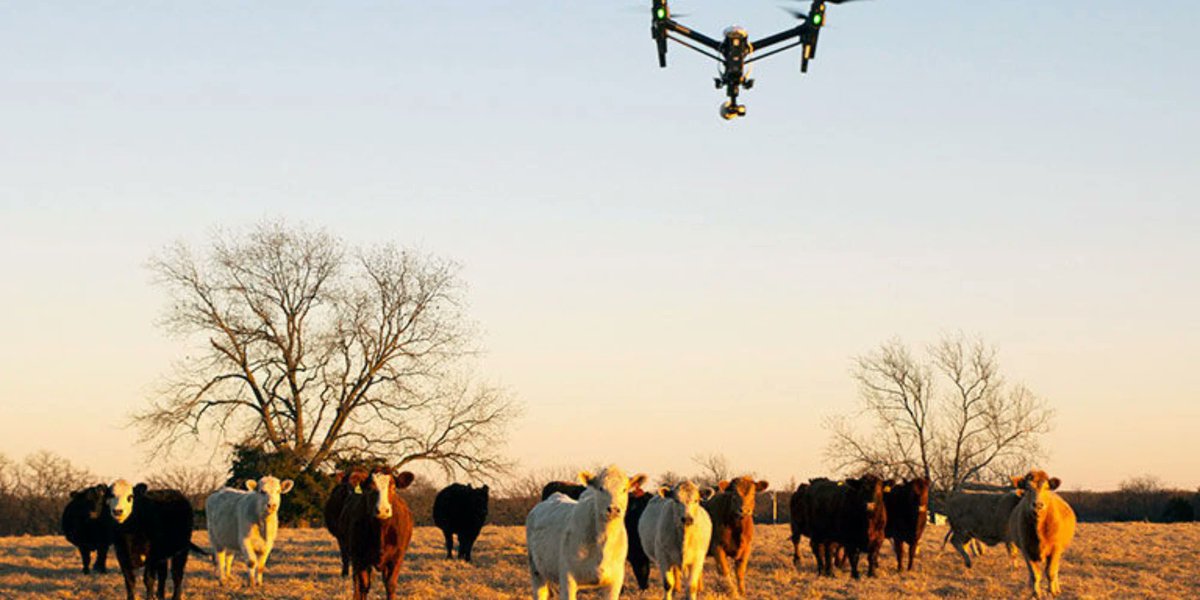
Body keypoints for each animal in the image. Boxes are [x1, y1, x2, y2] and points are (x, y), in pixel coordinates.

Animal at [339, 467, 415, 600]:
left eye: (393, 487)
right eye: (369, 488)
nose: (383, 510)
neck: (381, 531)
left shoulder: (397, 557)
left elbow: (390, 585)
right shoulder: (359, 557)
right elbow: (363, 585)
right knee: (357, 583)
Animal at [525, 466, 648, 600]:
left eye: (624, 489)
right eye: (601, 488)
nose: (614, 509)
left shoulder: (615, 582)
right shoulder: (568, 579)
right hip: (536, 571)